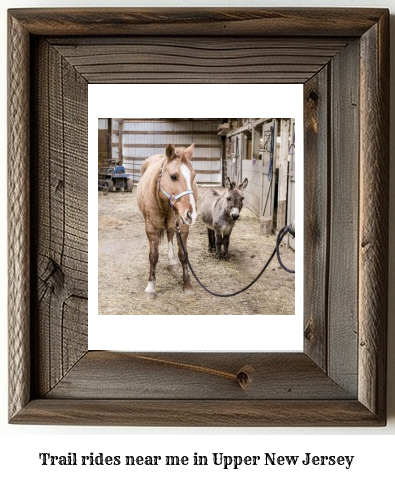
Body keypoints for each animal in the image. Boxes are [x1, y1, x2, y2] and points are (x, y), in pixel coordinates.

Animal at [137, 144, 198, 296]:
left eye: (193, 176)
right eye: (173, 176)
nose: (191, 214)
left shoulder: (182, 227)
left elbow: (183, 255)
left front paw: (187, 284)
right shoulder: (151, 228)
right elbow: (153, 256)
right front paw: (151, 287)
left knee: (170, 235)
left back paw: (172, 261)